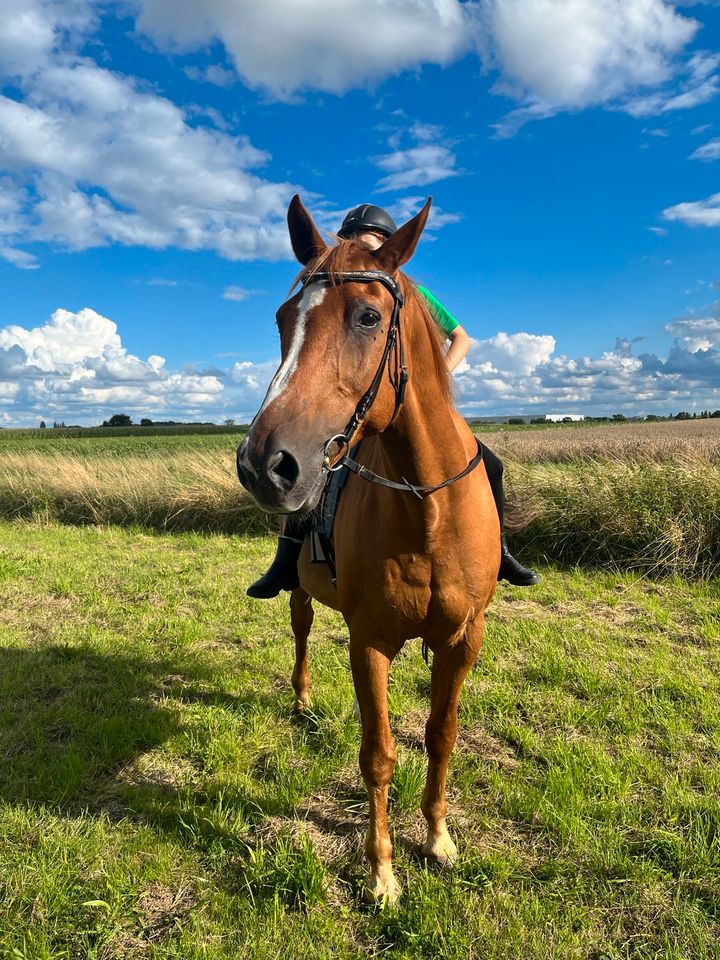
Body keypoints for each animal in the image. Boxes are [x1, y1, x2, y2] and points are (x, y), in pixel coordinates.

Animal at [236, 193, 500, 900]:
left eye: (368, 316)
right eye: (281, 320)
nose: (264, 465)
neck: (427, 510)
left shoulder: (462, 638)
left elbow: (441, 735)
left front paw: (437, 839)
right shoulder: (370, 640)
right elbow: (378, 754)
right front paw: (381, 872)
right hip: (302, 591)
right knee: (300, 628)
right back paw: (302, 701)